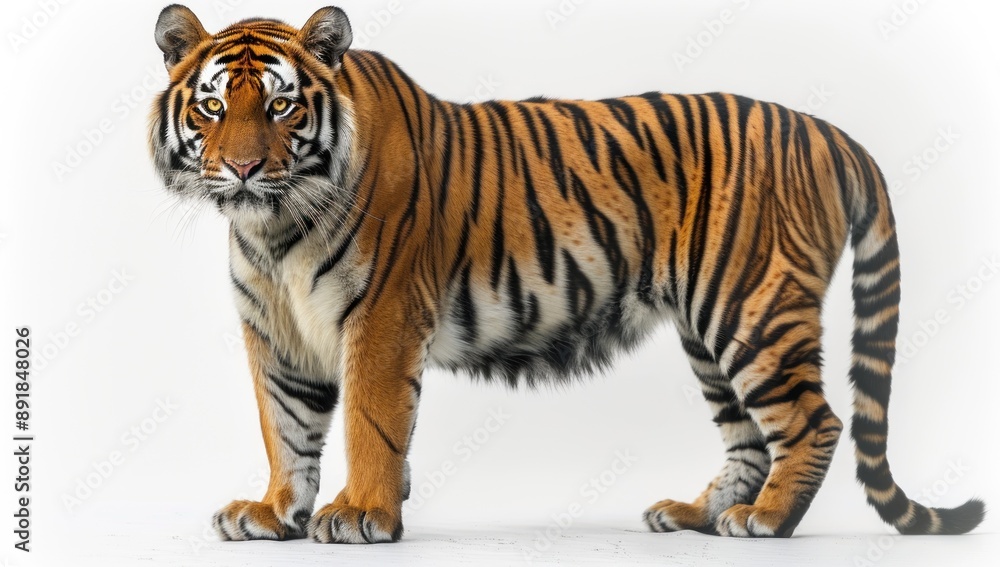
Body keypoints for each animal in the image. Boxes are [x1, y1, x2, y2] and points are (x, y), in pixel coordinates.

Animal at [148, 4, 984, 543]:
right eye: (214, 108)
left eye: (281, 108)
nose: (242, 168)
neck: (273, 227)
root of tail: (829, 130)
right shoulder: (275, 331)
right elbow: (285, 427)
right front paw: (273, 512)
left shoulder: (381, 316)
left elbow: (369, 422)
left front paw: (361, 513)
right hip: (709, 330)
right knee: (749, 438)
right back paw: (699, 514)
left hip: (753, 309)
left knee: (817, 420)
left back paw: (766, 520)